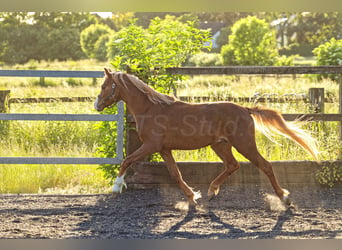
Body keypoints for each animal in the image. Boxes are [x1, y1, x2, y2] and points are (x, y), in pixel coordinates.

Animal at [94, 69, 318, 207]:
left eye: (104, 86)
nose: (96, 105)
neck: (150, 109)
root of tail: (245, 109)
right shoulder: (164, 149)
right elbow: (175, 174)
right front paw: (192, 197)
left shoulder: (150, 145)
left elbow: (127, 160)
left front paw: (116, 187)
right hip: (220, 145)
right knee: (233, 165)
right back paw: (211, 191)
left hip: (244, 144)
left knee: (265, 165)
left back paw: (284, 198)